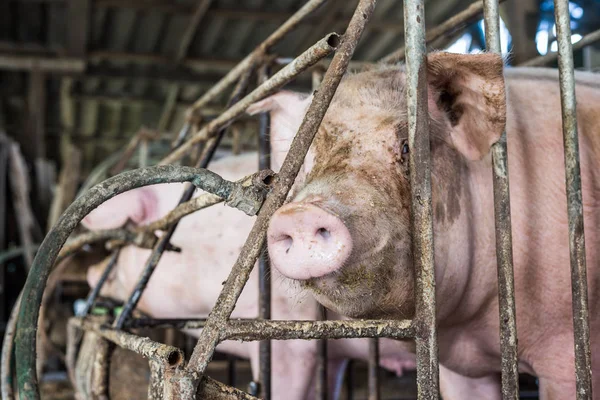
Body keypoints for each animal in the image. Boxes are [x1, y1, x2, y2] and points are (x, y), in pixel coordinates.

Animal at [256, 51, 600, 398]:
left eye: (407, 147)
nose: (301, 213)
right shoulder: (460, 370)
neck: (474, 329)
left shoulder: (564, 343)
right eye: (306, 162)